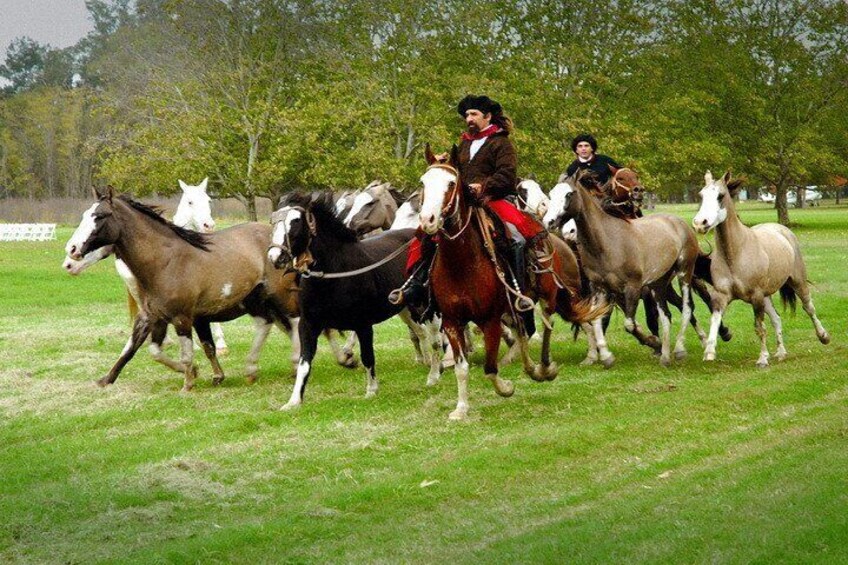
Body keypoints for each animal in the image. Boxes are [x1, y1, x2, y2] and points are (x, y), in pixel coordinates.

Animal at [66, 187, 294, 390]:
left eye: (100, 216)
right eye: (86, 214)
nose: (71, 251)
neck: (164, 262)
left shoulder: (182, 317)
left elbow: (186, 353)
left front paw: (188, 383)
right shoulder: (153, 317)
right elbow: (141, 350)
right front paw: (105, 380)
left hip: (280, 297)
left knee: (292, 323)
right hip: (257, 302)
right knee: (267, 325)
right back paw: (253, 370)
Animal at [266, 192, 416, 408]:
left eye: (296, 221)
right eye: (273, 221)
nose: (275, 256)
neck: (332, 275)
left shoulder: (363, 323)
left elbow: (367, 356)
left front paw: (371, 390)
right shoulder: (308, 324)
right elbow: (304, 362)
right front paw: (293, 401)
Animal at [544, 172, 704, 366]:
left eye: (569, 194)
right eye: (551, 194)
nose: (549, 222)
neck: (607, 244)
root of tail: (680, 223)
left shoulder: (632, 288)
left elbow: (629, 324)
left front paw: (652, 341)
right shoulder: (600, 289)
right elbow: (596, 320)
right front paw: (606, 357)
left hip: (684, 272)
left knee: (687, 307)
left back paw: (681, 349)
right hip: (659, 282)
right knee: (666, 315)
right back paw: (665, 357)